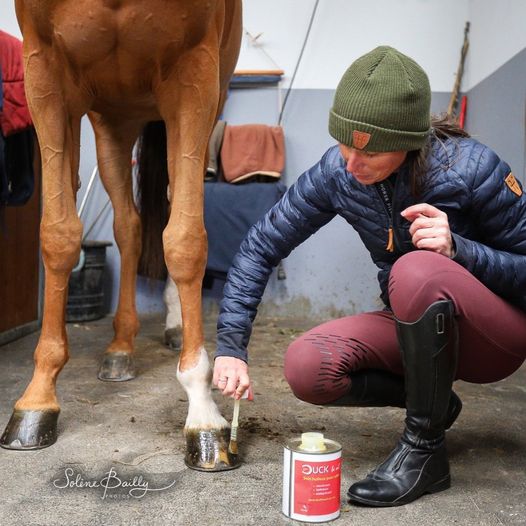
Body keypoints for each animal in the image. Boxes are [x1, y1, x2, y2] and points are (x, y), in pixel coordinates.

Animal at [0, 0, 243, 472]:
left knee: (168, 207)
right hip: (113, 122)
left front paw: (203, 413)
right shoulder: (45, 73)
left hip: (200, 105)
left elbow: (185, 241)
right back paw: (120, 347)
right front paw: (37, 399)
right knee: (129, 226)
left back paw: (172, 325)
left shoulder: (195, 74)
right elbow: (58, 235)